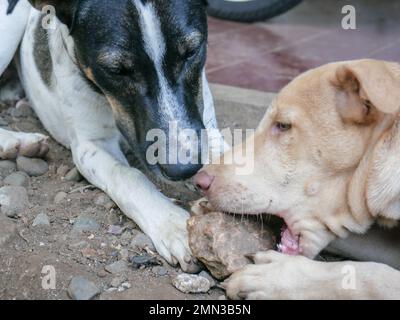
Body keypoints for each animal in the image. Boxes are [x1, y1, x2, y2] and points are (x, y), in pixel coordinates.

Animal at [0, 0, 225, 272]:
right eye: (116, 70)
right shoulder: (90, 145)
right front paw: (171, 223)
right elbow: (129, 176)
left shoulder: (206, 129)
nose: (185, 169)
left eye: (191, 52)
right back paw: (16, 142)